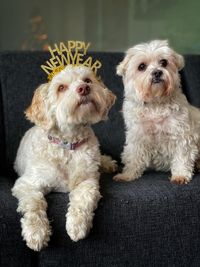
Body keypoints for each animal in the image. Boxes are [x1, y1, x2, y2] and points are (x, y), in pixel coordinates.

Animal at [11, 65, 116, 251]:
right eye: (61, 88)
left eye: (88, 80)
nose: (84, 88)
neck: (68, 145)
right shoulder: (26, 184)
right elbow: (33, 204)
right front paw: (36, 232)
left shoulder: (88, 181)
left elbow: (83, 198)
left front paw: (77, 225)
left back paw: (108, 164)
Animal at [114, 39, 200, 185]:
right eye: (141, 66)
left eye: (164, 62)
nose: (157, 72)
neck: (156, 103)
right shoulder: (137, 137)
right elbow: (133, 158)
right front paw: (127, 175)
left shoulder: (182, 135)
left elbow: (182, 156)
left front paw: (180, 175)